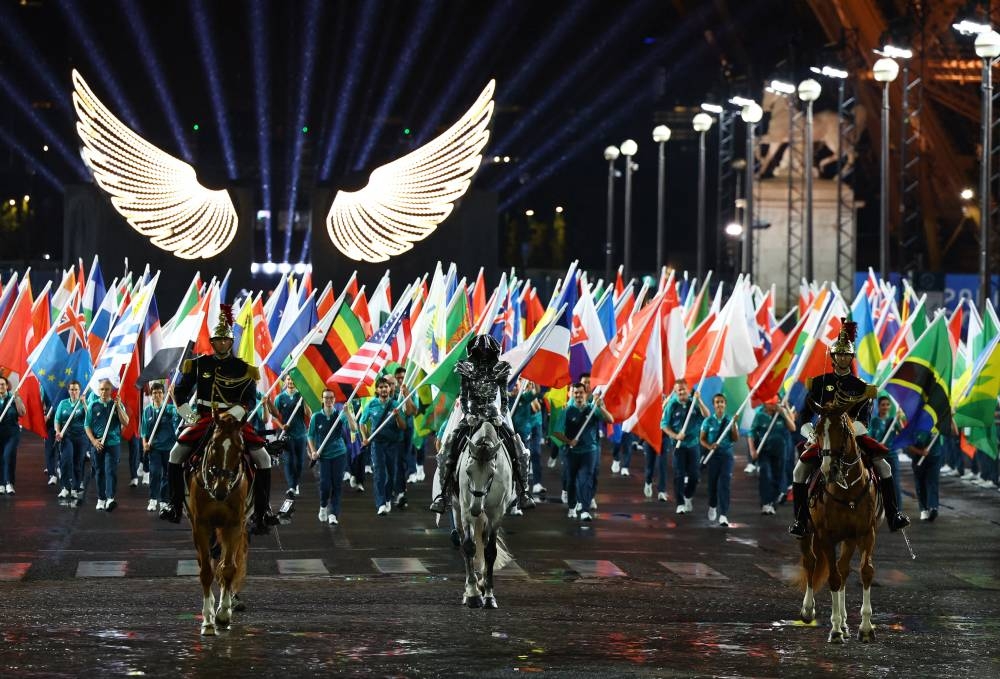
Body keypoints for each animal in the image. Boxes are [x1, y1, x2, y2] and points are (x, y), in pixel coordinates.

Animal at [188, 414, 252, 636]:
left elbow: (229, 568)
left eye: (240, 449)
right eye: (214, 446)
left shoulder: (234, 525)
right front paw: (207, 621)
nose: (221, 490)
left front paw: (223, 614)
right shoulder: (200, 526)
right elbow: (206, 571)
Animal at [454, 418, 516, 608]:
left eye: (491, 474)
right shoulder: (465, 510)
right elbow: (469, 547)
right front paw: (473, 594)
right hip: (457, 509)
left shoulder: (496, 513)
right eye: (468, 471)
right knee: (463, 540)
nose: (476, 509)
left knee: (484, 538)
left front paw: (489, 595)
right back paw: (470, 588)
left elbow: (490, 551)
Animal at [800, 406, 880, 644]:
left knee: (843, 569)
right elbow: (833, 577)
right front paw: (834, 629)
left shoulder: (865, 533)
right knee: (811, 562)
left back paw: (845, 623)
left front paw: (865, 628)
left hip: (849, 539)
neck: (848, 491)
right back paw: (808, 610)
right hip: (807, 533)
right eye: (818, 431)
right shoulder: (826, 537)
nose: (829, 469)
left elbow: (865, 572)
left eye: (843, 430)